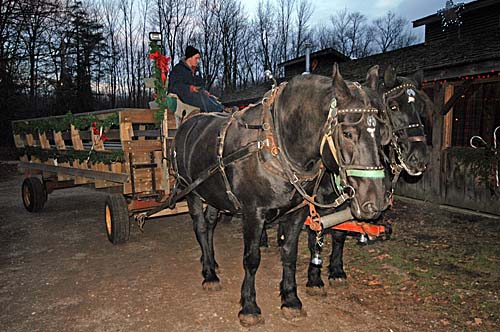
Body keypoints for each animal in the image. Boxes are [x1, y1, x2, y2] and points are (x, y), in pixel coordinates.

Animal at [172, 63, 390, 326]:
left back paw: (211, 262)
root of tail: (188, 122)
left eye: (383, 134)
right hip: (191, 190)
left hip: (213, 194)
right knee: (201, 227)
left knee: (211, 224)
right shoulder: (253, 214)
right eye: (347, 133)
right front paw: (249, 306)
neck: (275, 143)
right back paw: (209, 275)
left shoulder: (297, 212)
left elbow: (290, 254)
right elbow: (252, 258)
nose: (375, 201)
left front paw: (291, 299)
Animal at [304, 65, 434, 294]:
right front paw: (314, 277)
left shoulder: (347, 202)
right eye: (393, 107)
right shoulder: (315, 203)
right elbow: (314, 235)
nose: (420, 158)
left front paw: (336, 270)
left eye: (419, 107)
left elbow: (340, 234)